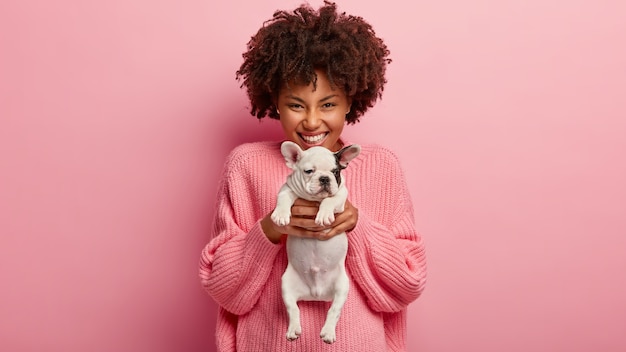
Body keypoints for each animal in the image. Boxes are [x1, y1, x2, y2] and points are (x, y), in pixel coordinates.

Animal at [270, 140, 360, 344]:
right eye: (309, 171)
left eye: (335, 172)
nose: (325, 178)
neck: (314, 200)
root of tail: (316, 294)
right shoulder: (287, 188)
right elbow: (283, 197)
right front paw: (280, 215)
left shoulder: (341, 196)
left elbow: (330, 200)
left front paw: (324, 214)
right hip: (286, 285)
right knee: (293, 309)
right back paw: (293, 330)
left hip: (342, 287)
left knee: (334, 310)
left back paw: (328, 332)